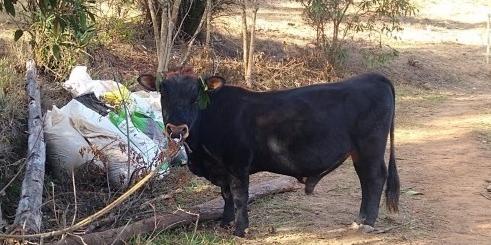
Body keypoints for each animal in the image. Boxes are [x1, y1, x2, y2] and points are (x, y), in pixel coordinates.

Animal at [138, 72, 400, 236]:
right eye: (163, 95)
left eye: (195, 98)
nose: (177, 129)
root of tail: (373, 77)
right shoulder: (223, 169)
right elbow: (226, 195)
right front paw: (225, 222)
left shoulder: (238, 164)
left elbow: (240, 195)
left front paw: (240, 229)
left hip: (368, 148)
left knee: (373, 179)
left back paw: (364, 222)